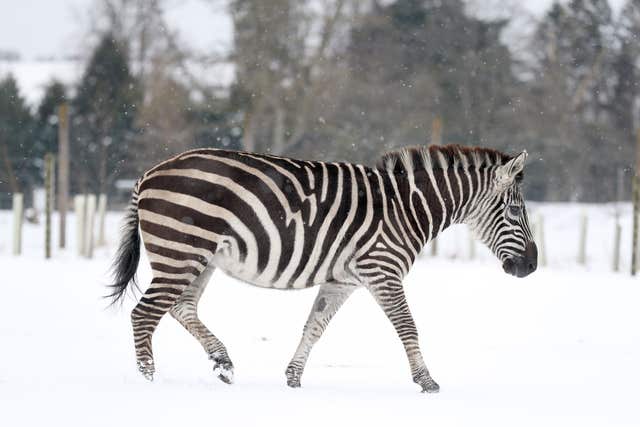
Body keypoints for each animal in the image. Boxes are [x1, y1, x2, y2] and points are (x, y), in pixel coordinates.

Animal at [109, 145, 536, 394]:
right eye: (516, 211)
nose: (531, 266)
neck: (407, 209)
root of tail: (149, 173)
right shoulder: (383, 271)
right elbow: (407, 327)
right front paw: (427, 382)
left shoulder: (342, 280)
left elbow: (314, 326)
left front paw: (293, 378)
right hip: (181, 252)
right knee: (144, 314)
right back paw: (149, 382)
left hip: (199, 258)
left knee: (180, 308)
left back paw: (222, 363)